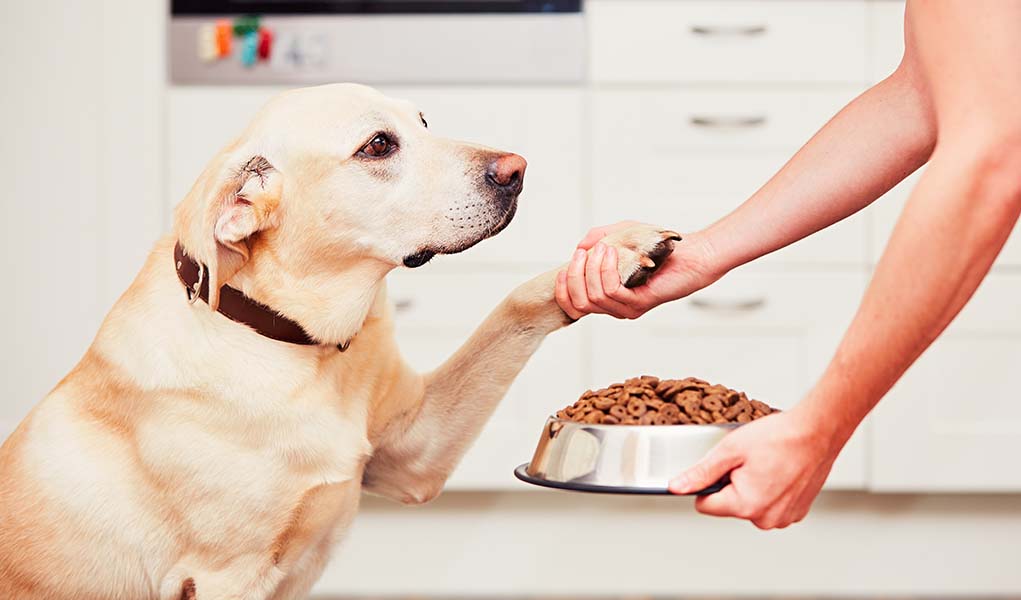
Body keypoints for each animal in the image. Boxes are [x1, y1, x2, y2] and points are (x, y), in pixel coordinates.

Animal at [3, 84, 682, 600]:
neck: (294, 342)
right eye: (378, 145)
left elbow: (511, 306)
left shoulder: (414, 454)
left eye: (423, 122)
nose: (518, 169)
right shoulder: (225, 576)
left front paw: (618, 250)